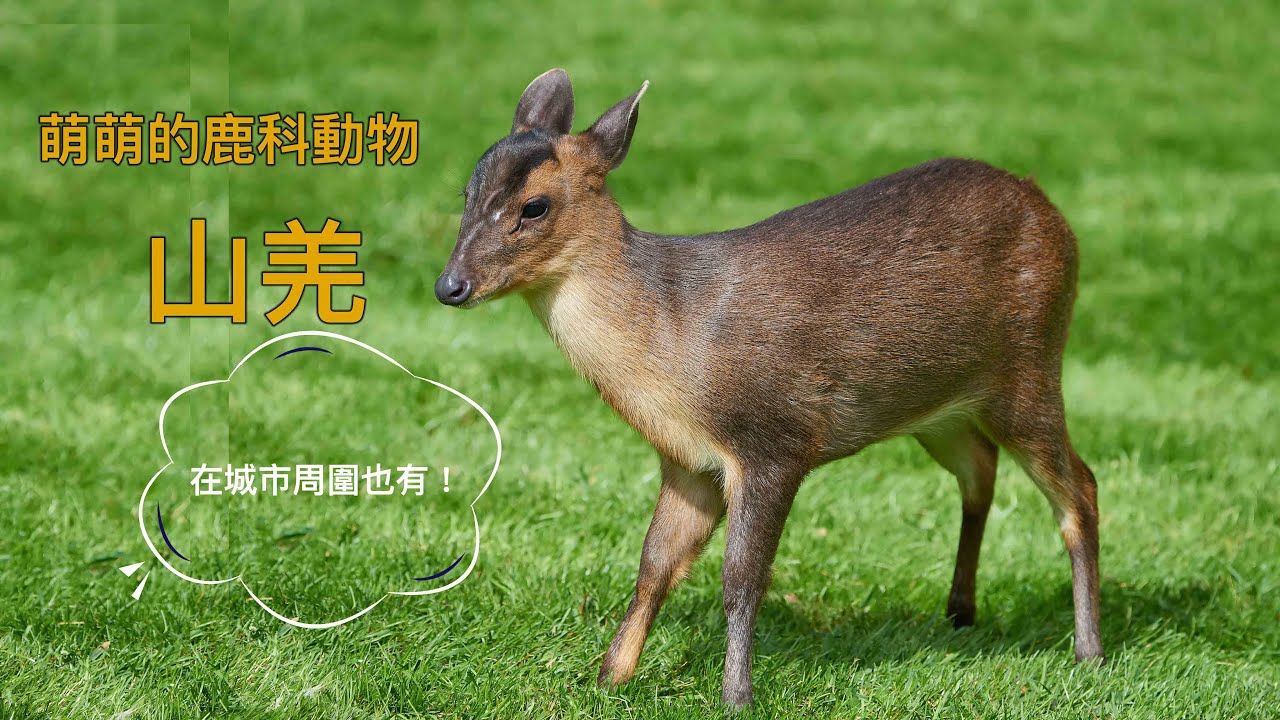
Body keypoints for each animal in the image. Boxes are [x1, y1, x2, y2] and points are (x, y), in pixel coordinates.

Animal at [436, 68, 1102, 707]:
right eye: (467, 193)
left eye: (535, 207)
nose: (450, 286)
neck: (675, 342)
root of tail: (1049, 207)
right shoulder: (688, 463)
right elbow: (654, 565)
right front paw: (608, 679)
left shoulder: (774, 441)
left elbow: (741, 579)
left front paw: (736, 696)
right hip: (940, 408)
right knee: (981, 472)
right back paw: (961, 613)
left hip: (1029, 367)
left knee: (1081, 489)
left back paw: (1088, 652)